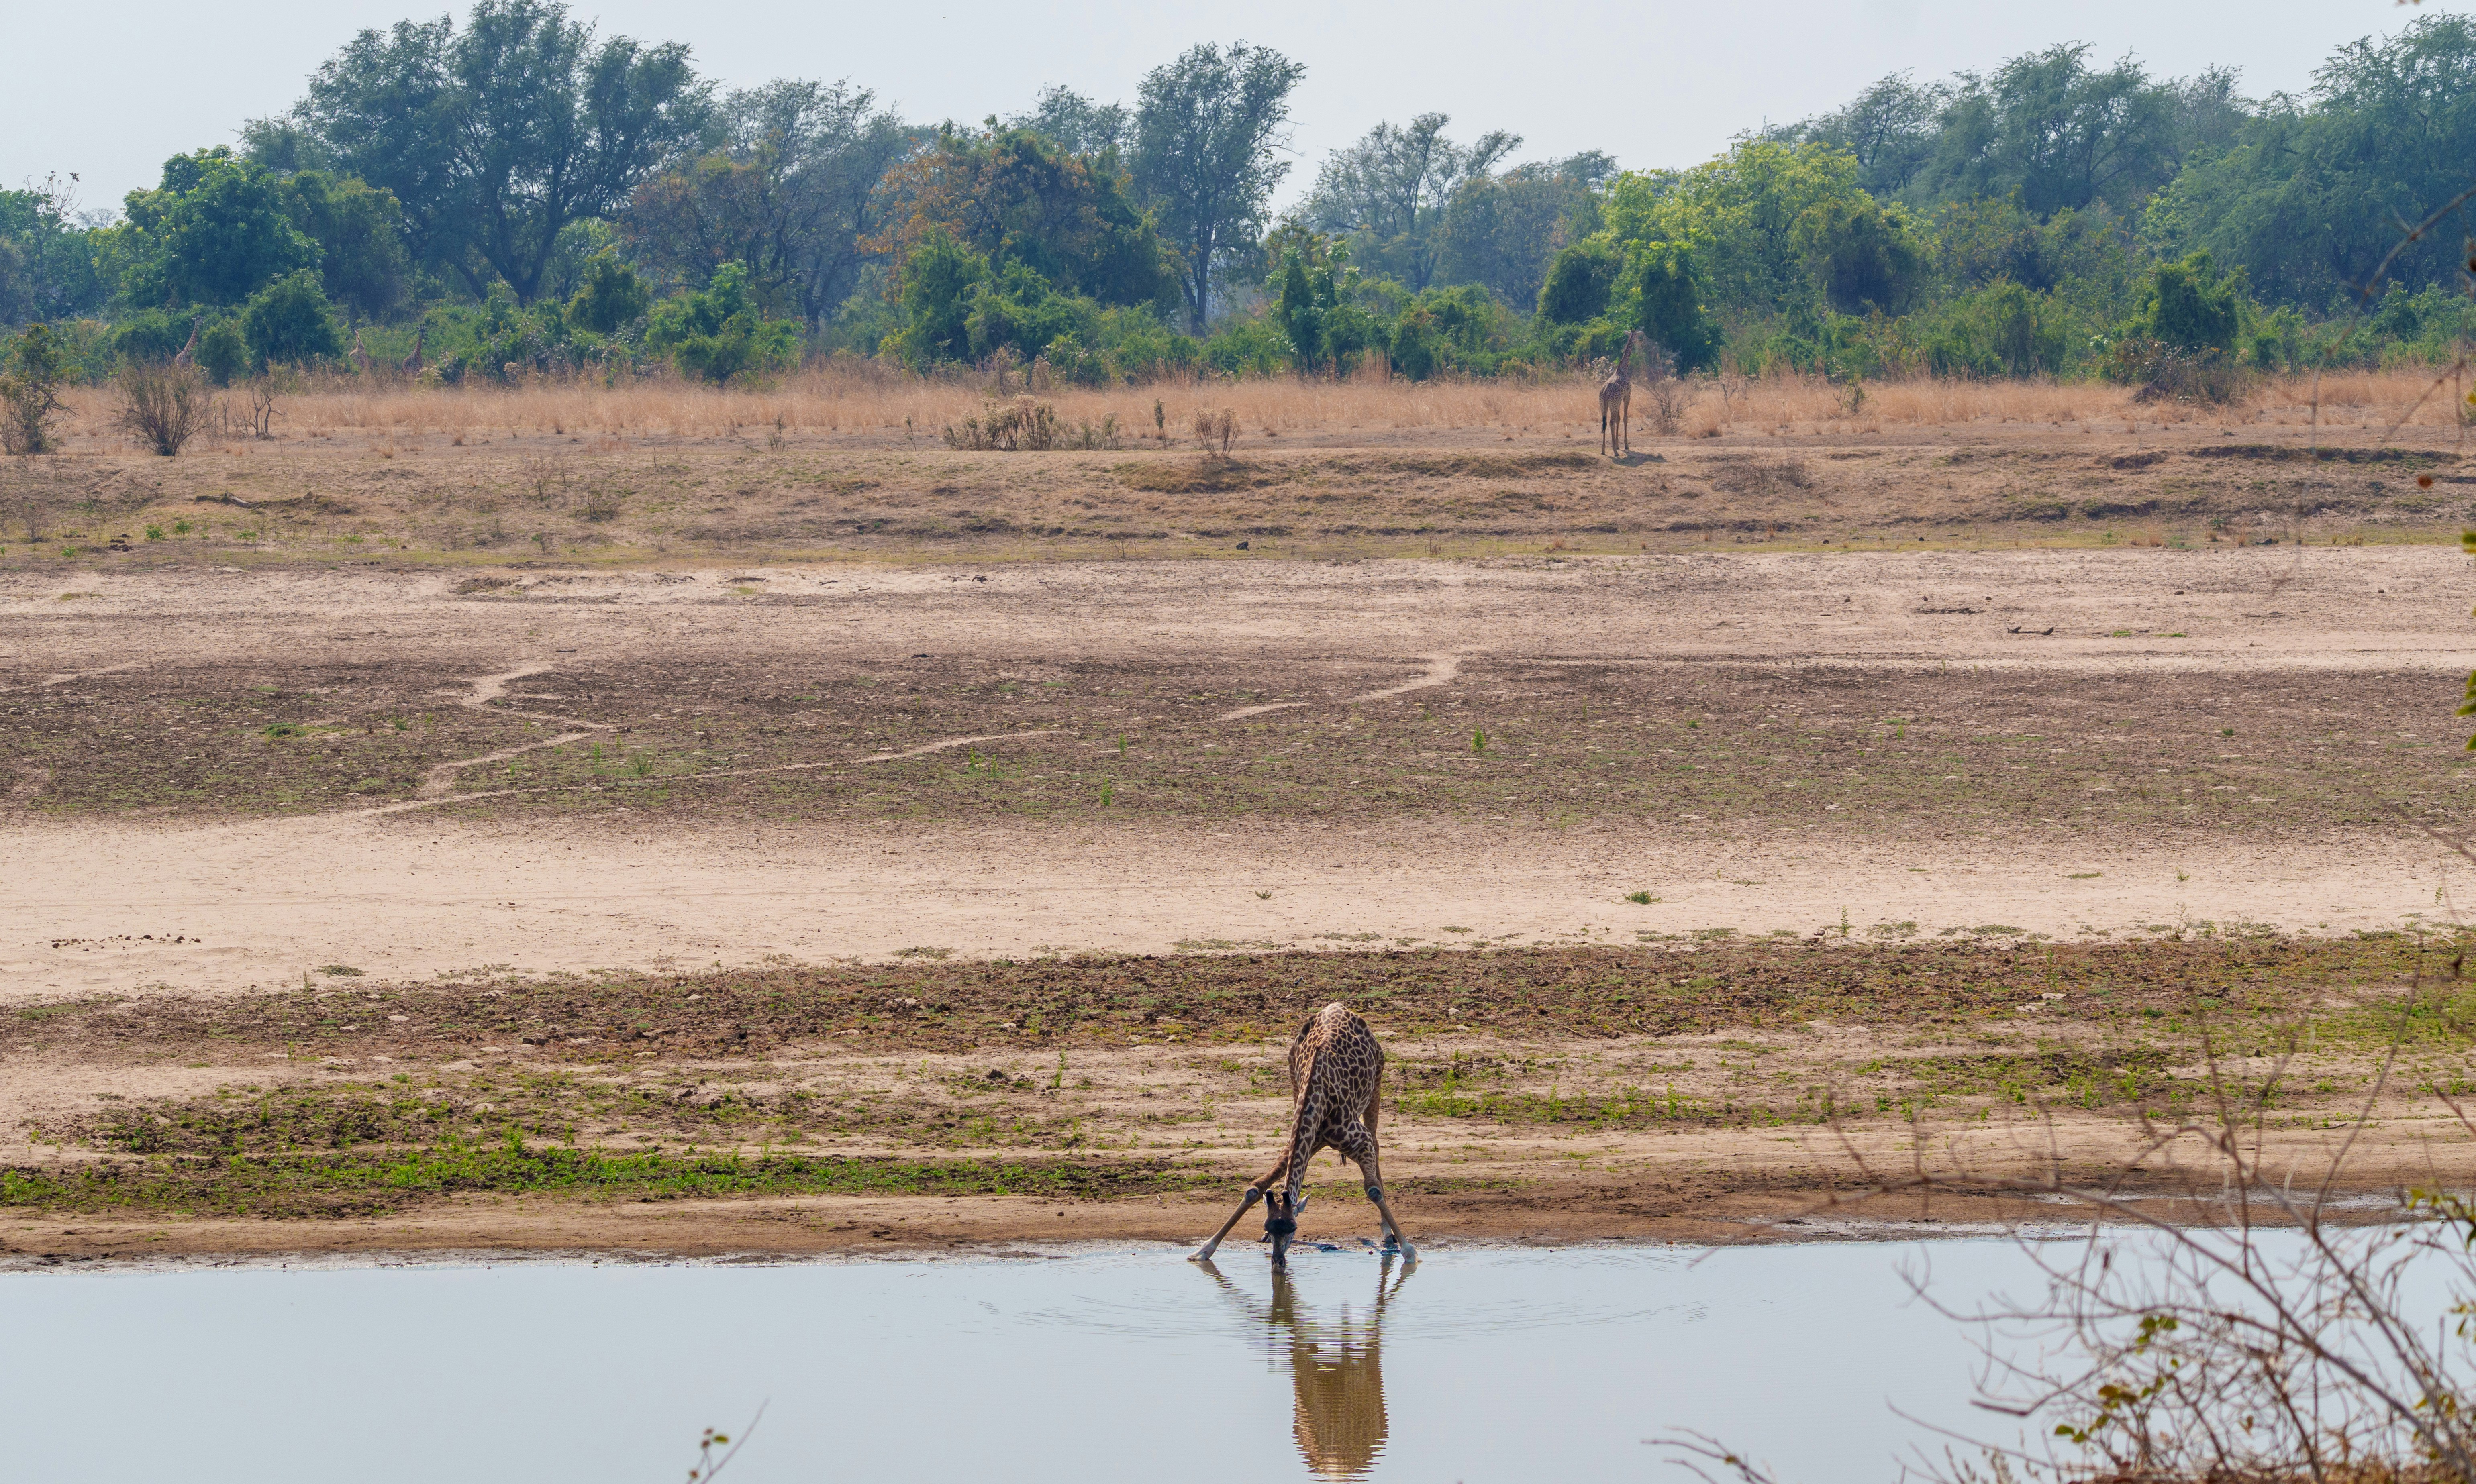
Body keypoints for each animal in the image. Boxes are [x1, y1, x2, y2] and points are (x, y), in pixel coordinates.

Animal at [1191, 1002, 1414, 1266]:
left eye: (1293, 1228)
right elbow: (1255, 1188)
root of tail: (1339, 1006)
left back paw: (1388, 1234)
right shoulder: (1299, 1140)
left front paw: (1409, 1251)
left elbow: (1373, 1189)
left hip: (1377, 1082)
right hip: (1294, 1085)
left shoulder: (1362, 1141)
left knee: (1378, 1143)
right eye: (1269, 1226)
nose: (1278, 1262)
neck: (1318, 1104)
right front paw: (1204, 1250)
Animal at [1599, 329, 1647, 458]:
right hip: (1613, 404)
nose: (1641, 341)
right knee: (1611, 422)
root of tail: (1605, 393)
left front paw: (1617, 445)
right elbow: (1625, 419)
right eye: (1636, 336)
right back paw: (1615, 453)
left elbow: (1619, 419)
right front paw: (1625, 445)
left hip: (1604, 405)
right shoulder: (1627, 397)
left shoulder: (1619, 401)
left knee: (1605, 422)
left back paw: (1604, 450)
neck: (1624, 369)